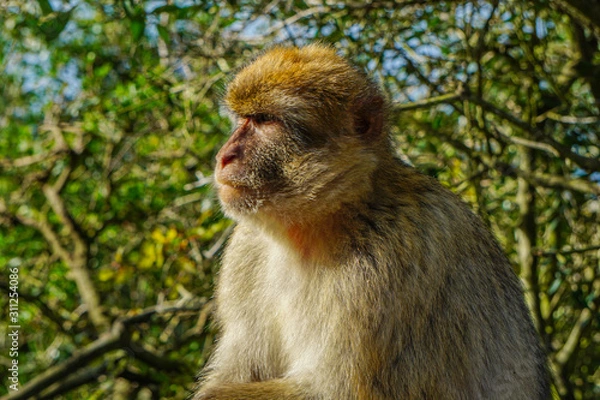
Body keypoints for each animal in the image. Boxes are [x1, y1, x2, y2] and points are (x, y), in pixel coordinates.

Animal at [195, 44, 552, 400]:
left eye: (265, 120)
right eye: (243, 119)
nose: (224, 156)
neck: (328, 218)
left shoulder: (385, 264)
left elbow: (336, 391)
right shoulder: (246, 248)